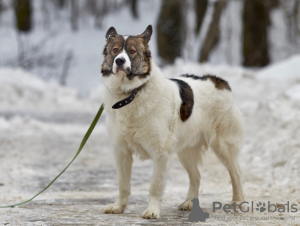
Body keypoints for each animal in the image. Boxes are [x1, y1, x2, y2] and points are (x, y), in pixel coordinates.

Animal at [101, 24, 244, 219]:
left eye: (132, 51)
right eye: (115, 50)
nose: (120, 61)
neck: (132, 93)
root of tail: (219, 81)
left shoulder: (161, 154)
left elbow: (155, 186)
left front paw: (152, 210)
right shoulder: (121, 152)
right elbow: (123, 185)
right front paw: (119, 206)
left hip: (222, 146)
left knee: (235, 173)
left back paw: (237, 202)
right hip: (186, 150)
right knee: (196, 176)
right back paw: (189, 202)